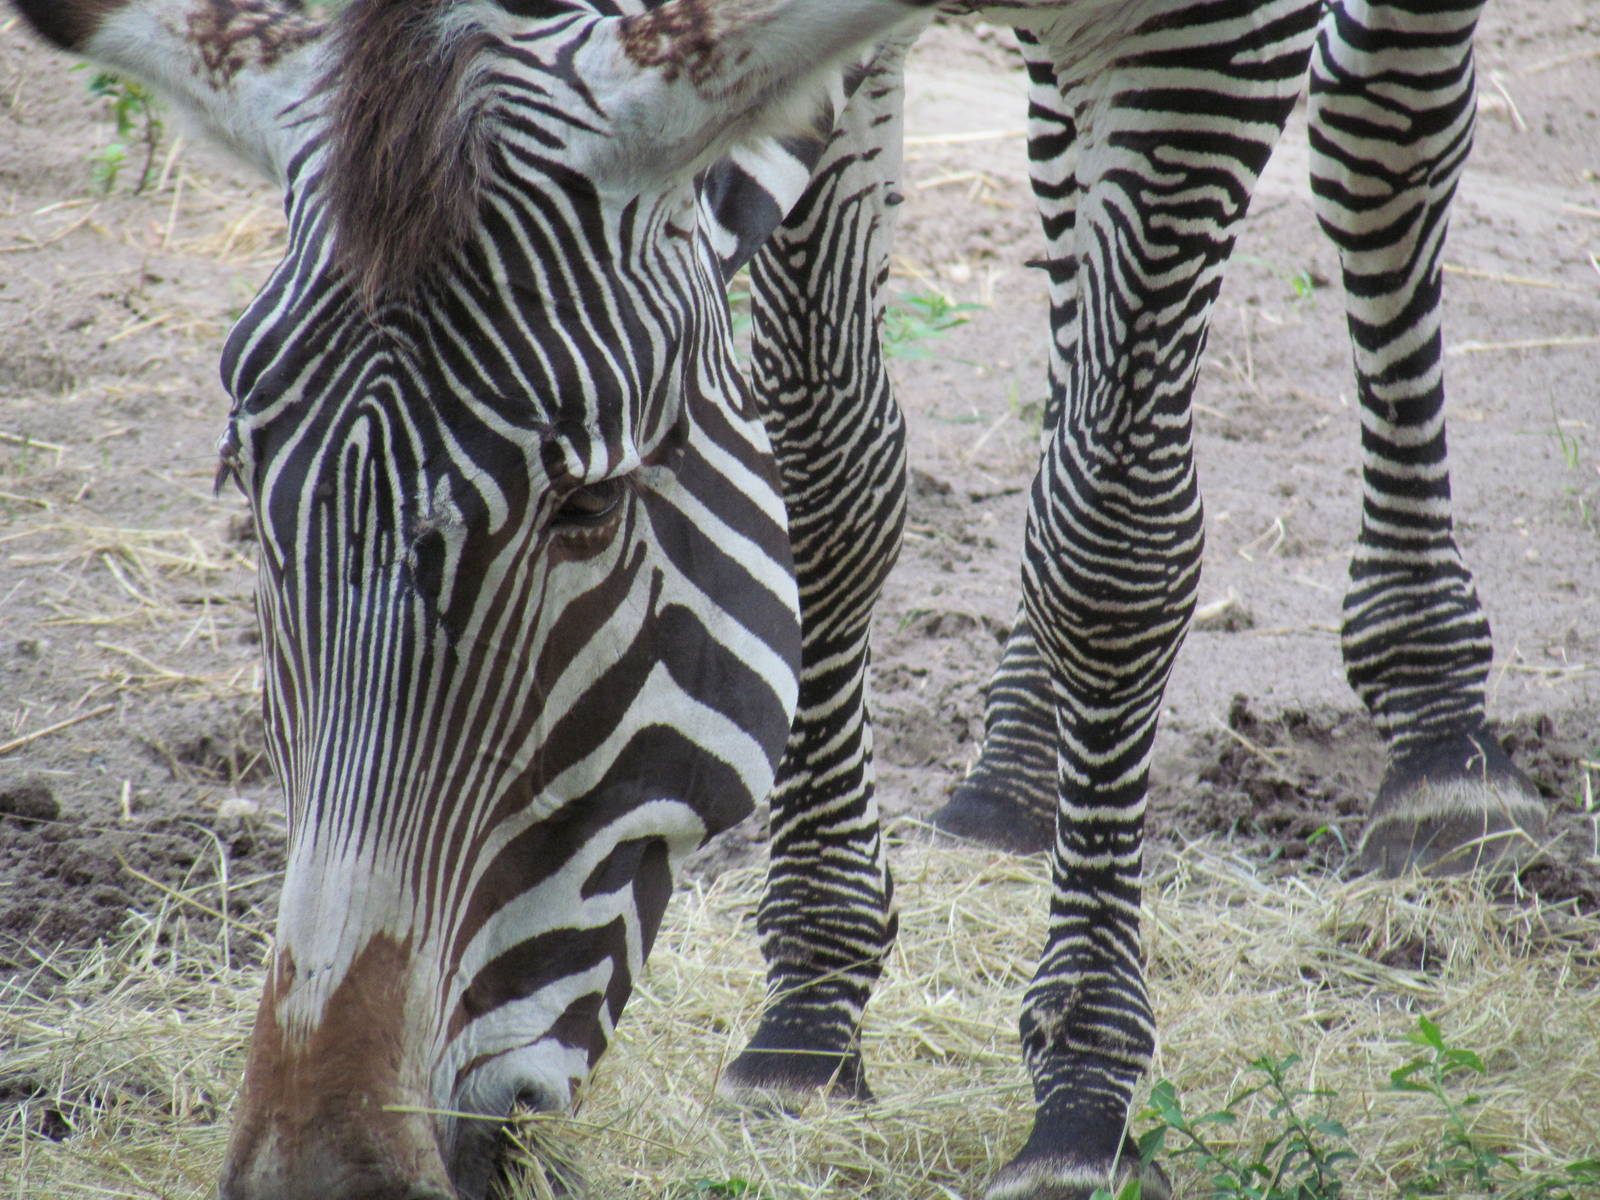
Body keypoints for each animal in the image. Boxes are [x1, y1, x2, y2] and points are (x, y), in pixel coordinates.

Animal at [6, 1, 1547, 1199]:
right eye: (247, 493)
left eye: (586, 512)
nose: (323, 1171)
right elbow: (827, 472)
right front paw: (814, 1001)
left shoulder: (1206, 45)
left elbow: (1113, 531)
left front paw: (1086, 1093)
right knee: (1068, 213)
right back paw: (1018, 759)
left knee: (1383, 140)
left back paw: (1437, 736)